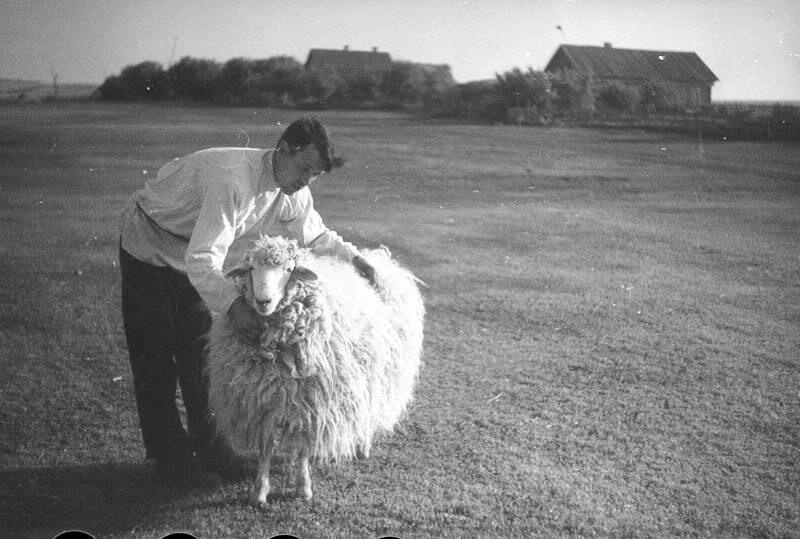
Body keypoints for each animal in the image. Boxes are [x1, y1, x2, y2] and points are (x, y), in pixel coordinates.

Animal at [204, 234, 424, 504]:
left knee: (371, 409)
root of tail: (381, 259)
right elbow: (265, 447)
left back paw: (363, 446)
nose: (263, 301)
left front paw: (303, 487)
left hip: (381, 375)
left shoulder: (313, 401)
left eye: (288, 269)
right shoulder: (262, 400)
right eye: (252, 269)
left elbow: (303, 448)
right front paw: (260, 490)